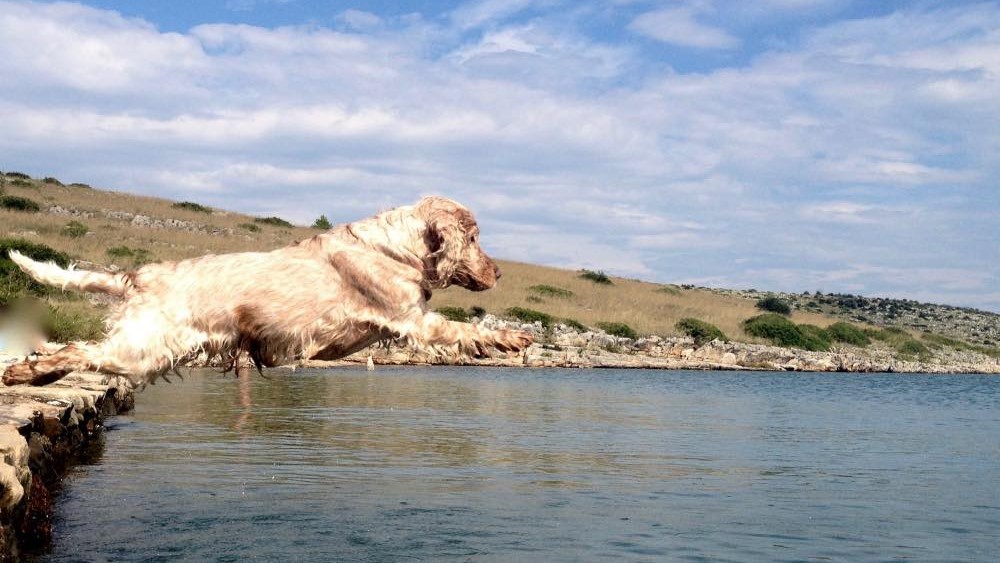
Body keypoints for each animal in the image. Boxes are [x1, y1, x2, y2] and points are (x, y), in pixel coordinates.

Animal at [3, 195, 536, 388]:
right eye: (474, 238)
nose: (498, 273)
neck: (398, 248)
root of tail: (141, 275)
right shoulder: (411, 319)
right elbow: (463, 330)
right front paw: (512, 338)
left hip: (145, 356)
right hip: (143, 348)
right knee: (76, 349)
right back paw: (25, 372)